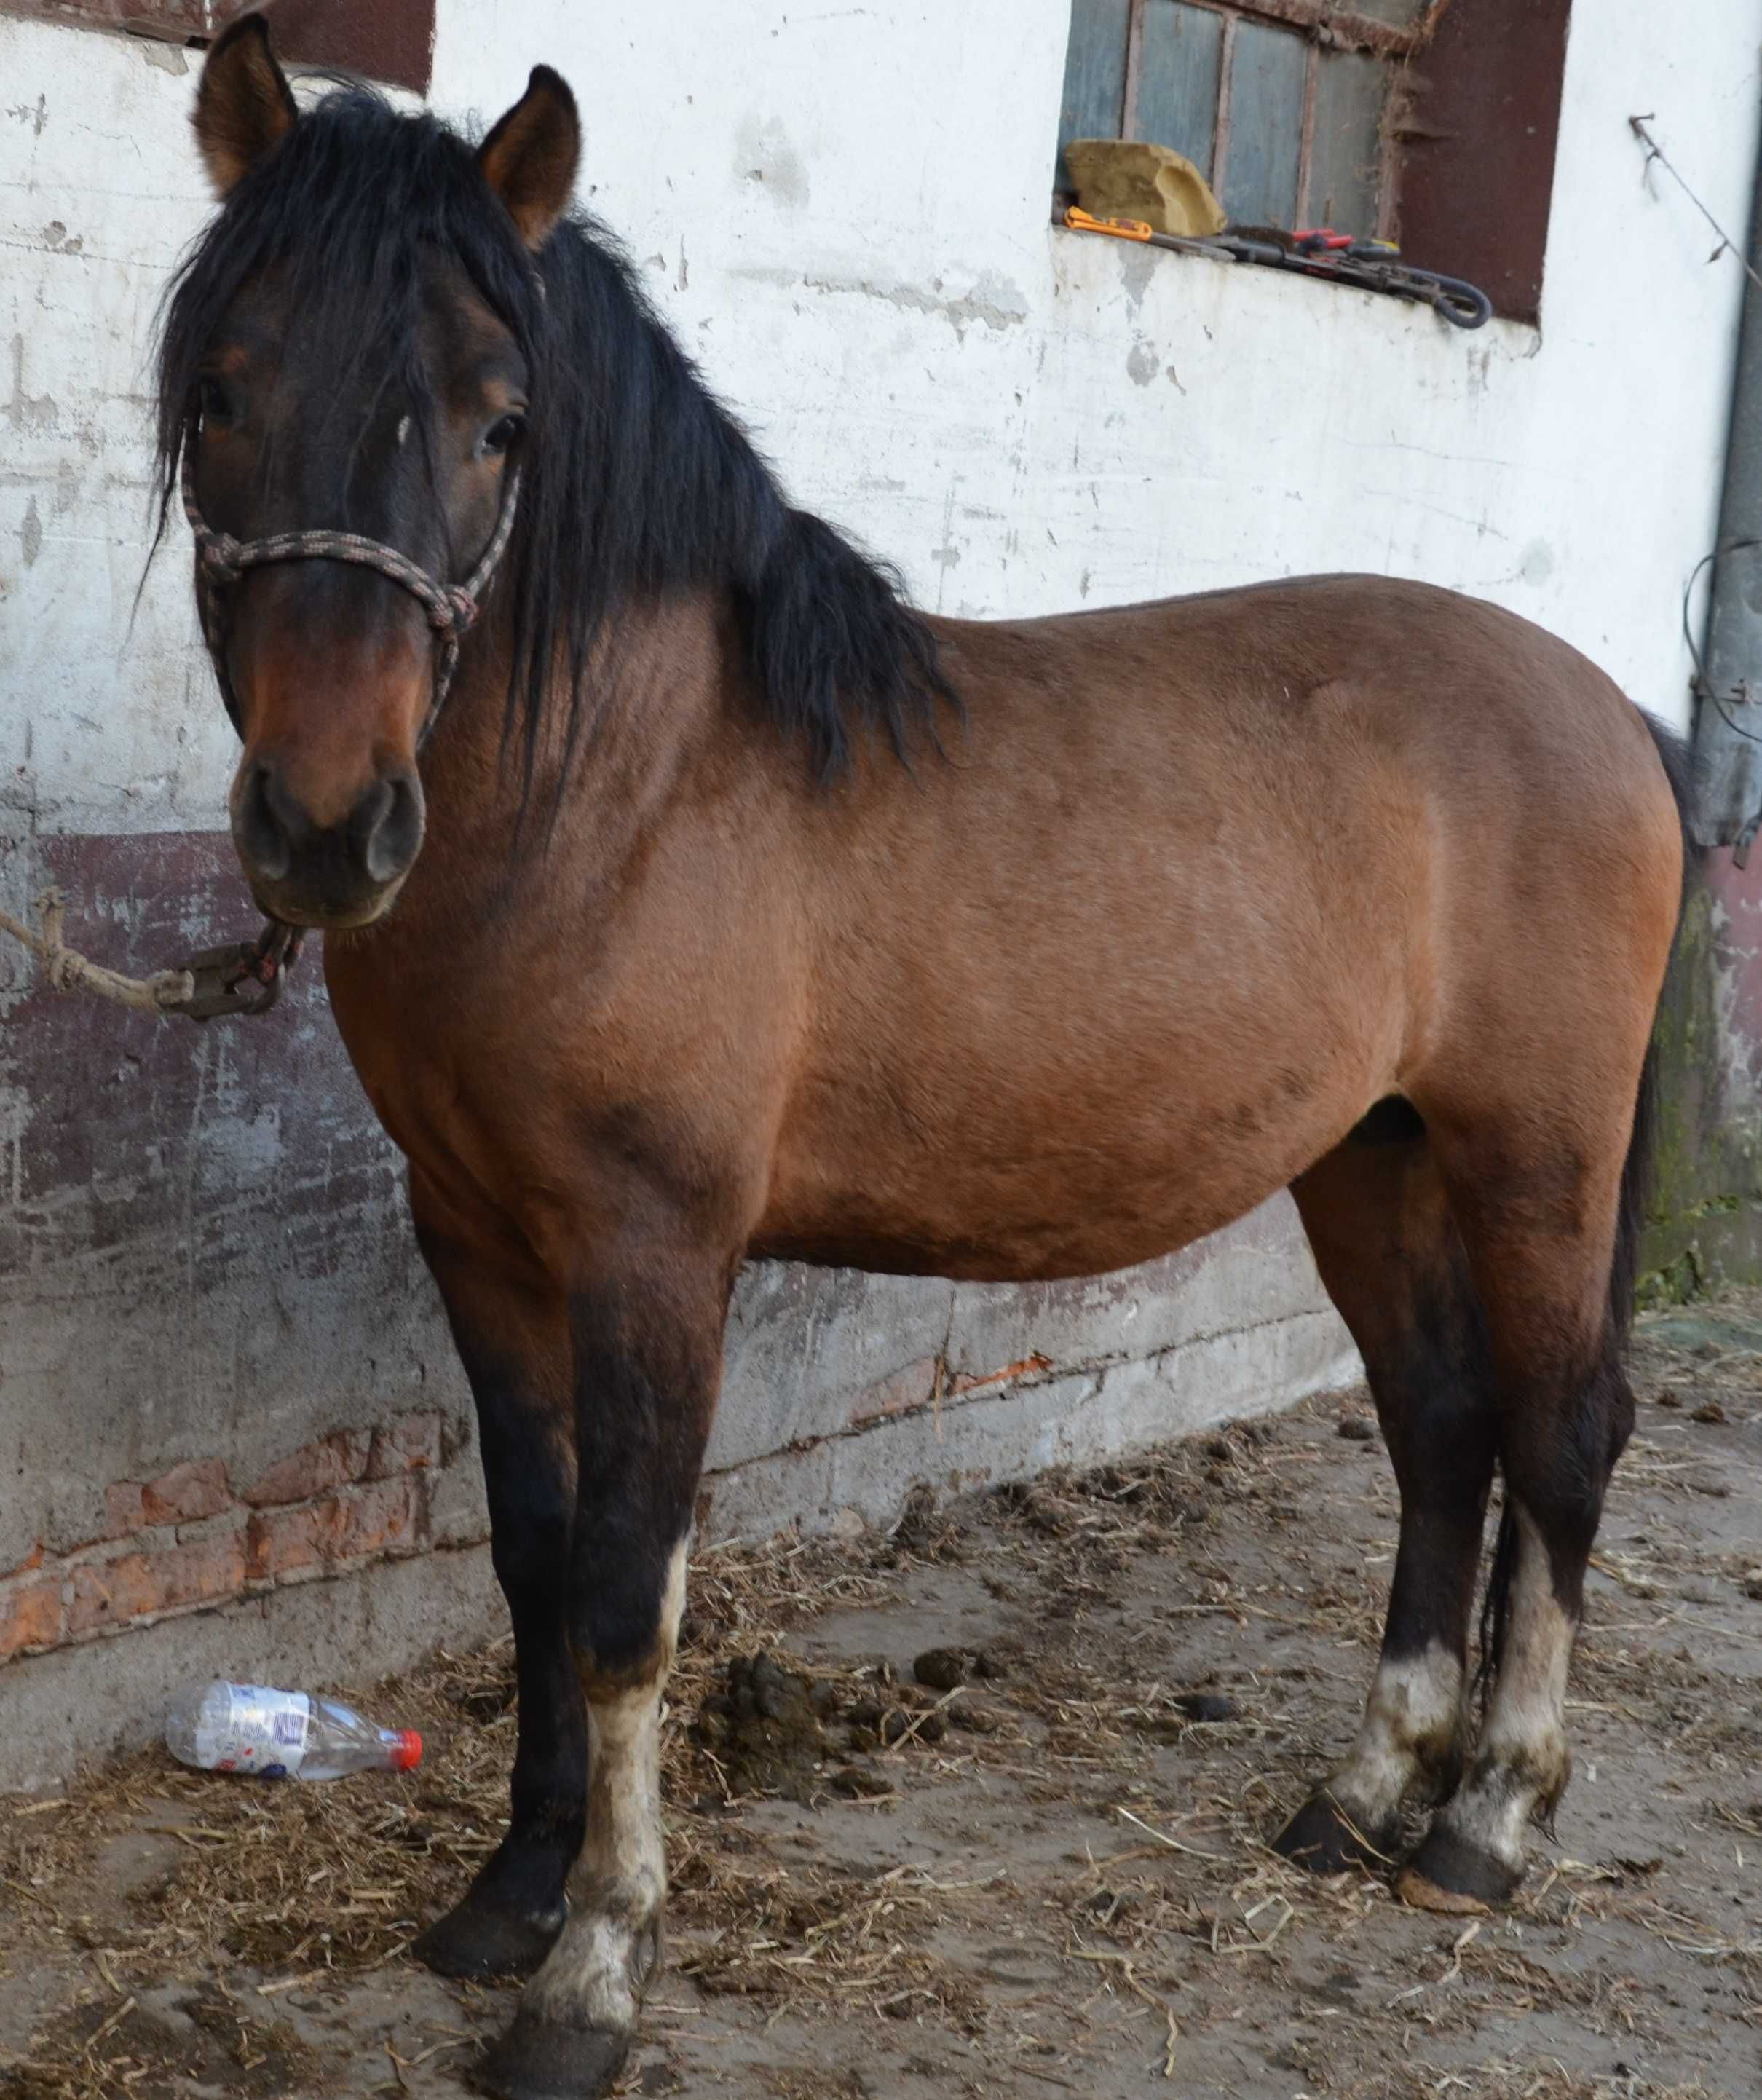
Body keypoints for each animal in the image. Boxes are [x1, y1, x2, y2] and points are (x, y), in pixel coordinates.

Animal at [162, 20, 1696, 2100]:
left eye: (499, 424)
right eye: (222, 388)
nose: (326, 826)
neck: (624, 790)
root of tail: (1611, 707)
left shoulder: (656, 1251)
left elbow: (626, 1592)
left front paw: (594, 1972)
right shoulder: (470, 1234)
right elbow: (534, 1559)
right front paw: (508, 1896)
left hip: (1533, 1156)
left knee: (1555, 1437)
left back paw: (1488, 1822)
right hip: (1364, 1154)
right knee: (1441, 1430)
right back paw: (1366, 1790)